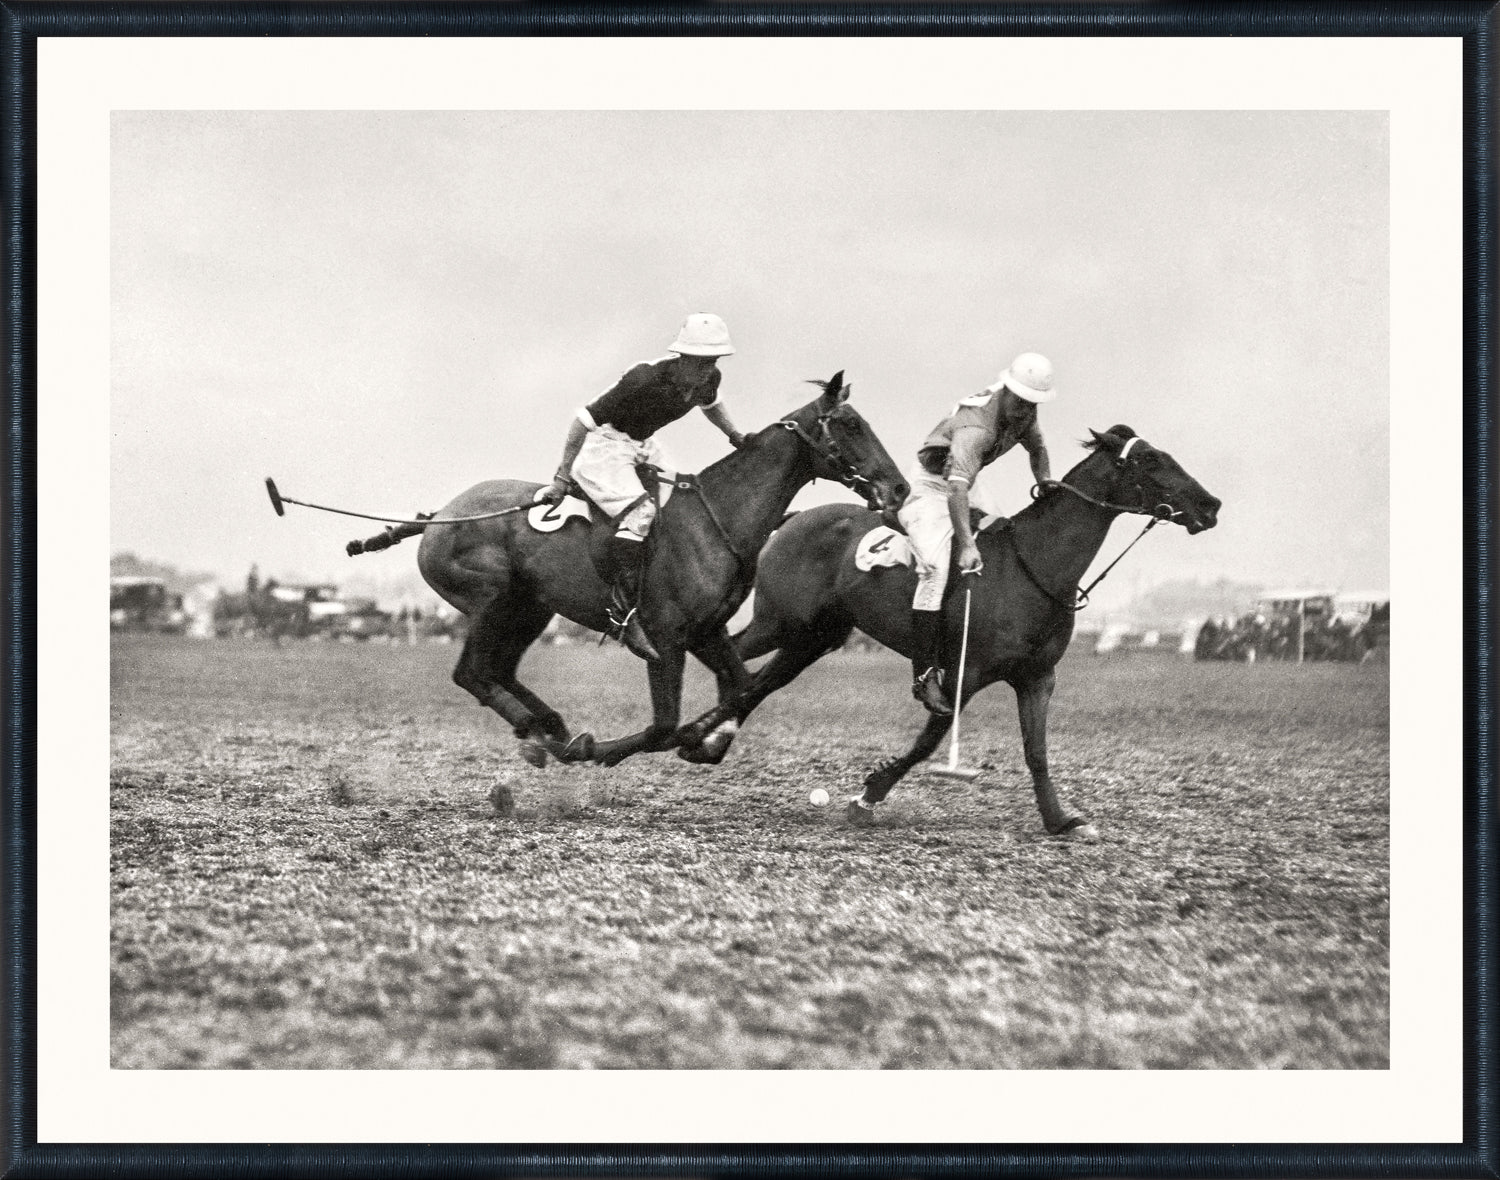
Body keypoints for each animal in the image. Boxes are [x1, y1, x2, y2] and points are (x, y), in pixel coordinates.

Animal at [351, 373, 906, 773]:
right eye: (851, 425)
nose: (898, 488)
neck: (718, 516)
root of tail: (442, 514)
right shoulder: (666, 635)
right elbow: (665, 724)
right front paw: (609, 749)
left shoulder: (705, 630)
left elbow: (742, 686)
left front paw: (706, 741)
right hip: (491, 600)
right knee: (471, 672)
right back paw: (543, 731)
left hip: (530, 608)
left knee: (498, 670)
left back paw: (547, 728)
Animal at [678, 425, 1218, 839]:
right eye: (1149, 459)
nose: (1211, 505)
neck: (1032, 566)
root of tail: (795, 518)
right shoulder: (965, 673)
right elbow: (928, 743)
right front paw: (868, 795)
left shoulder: (1037, 677)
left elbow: (1037, 751)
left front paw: (1061, 819)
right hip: (780, 622)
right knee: (729, 656)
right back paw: (695, 728)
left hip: (814, 638)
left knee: (758, 682)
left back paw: (706, 737)